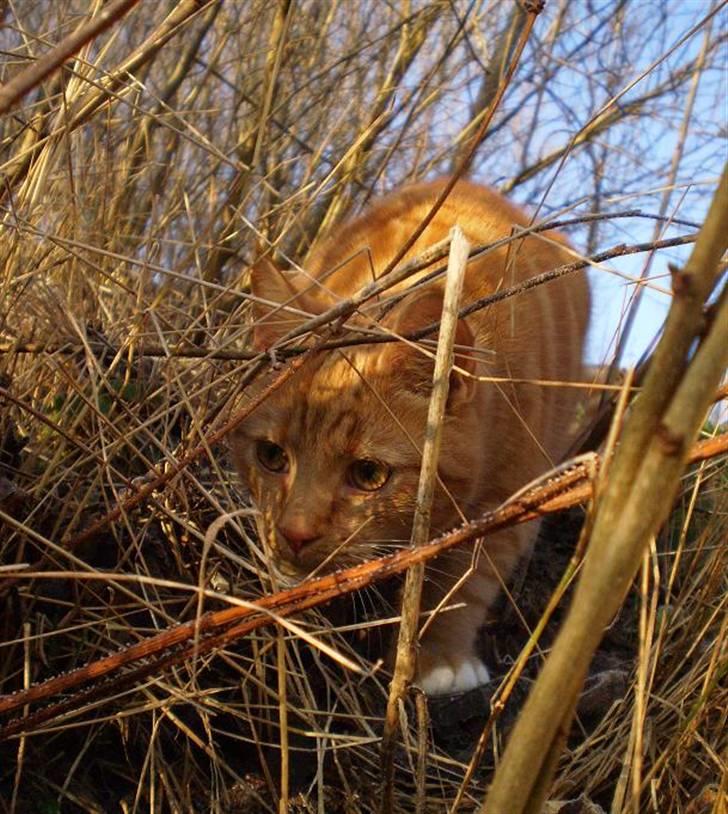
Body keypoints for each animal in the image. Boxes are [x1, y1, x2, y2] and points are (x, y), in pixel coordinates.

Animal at [230, 182, 588, 700]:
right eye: (271, 456)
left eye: (369, 474)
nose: (295, 533)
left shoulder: (509, 502)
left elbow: (466, 584)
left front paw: (440, 657)